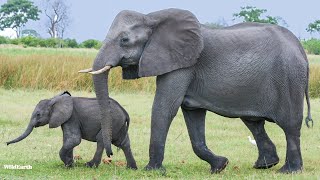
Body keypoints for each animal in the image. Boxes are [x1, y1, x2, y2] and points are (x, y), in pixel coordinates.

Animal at [6, 91, 136, 169]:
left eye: (38, 114)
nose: (6, 143)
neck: (55, 100)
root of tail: (124, 111)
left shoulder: (72, 117)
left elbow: (74, 140)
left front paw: (69, 165)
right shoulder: (66, 119)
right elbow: (68, 140)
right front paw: (70, 164)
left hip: (112, 122)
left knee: (101, 140)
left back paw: (90, 165)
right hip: (118, 125)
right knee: (123, 143)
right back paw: (131, 168)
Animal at [80, 8, 312, 173]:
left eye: (125, 40)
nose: (111, 154)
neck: (152, 17)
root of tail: (300, 48)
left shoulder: (183, 64)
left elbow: (165, 108)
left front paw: (152, 170)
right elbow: (192, 115)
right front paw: (220, 165)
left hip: (289, 78)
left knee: (290, 125)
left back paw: (288, 171)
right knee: (254, 123)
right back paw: (264, 165)